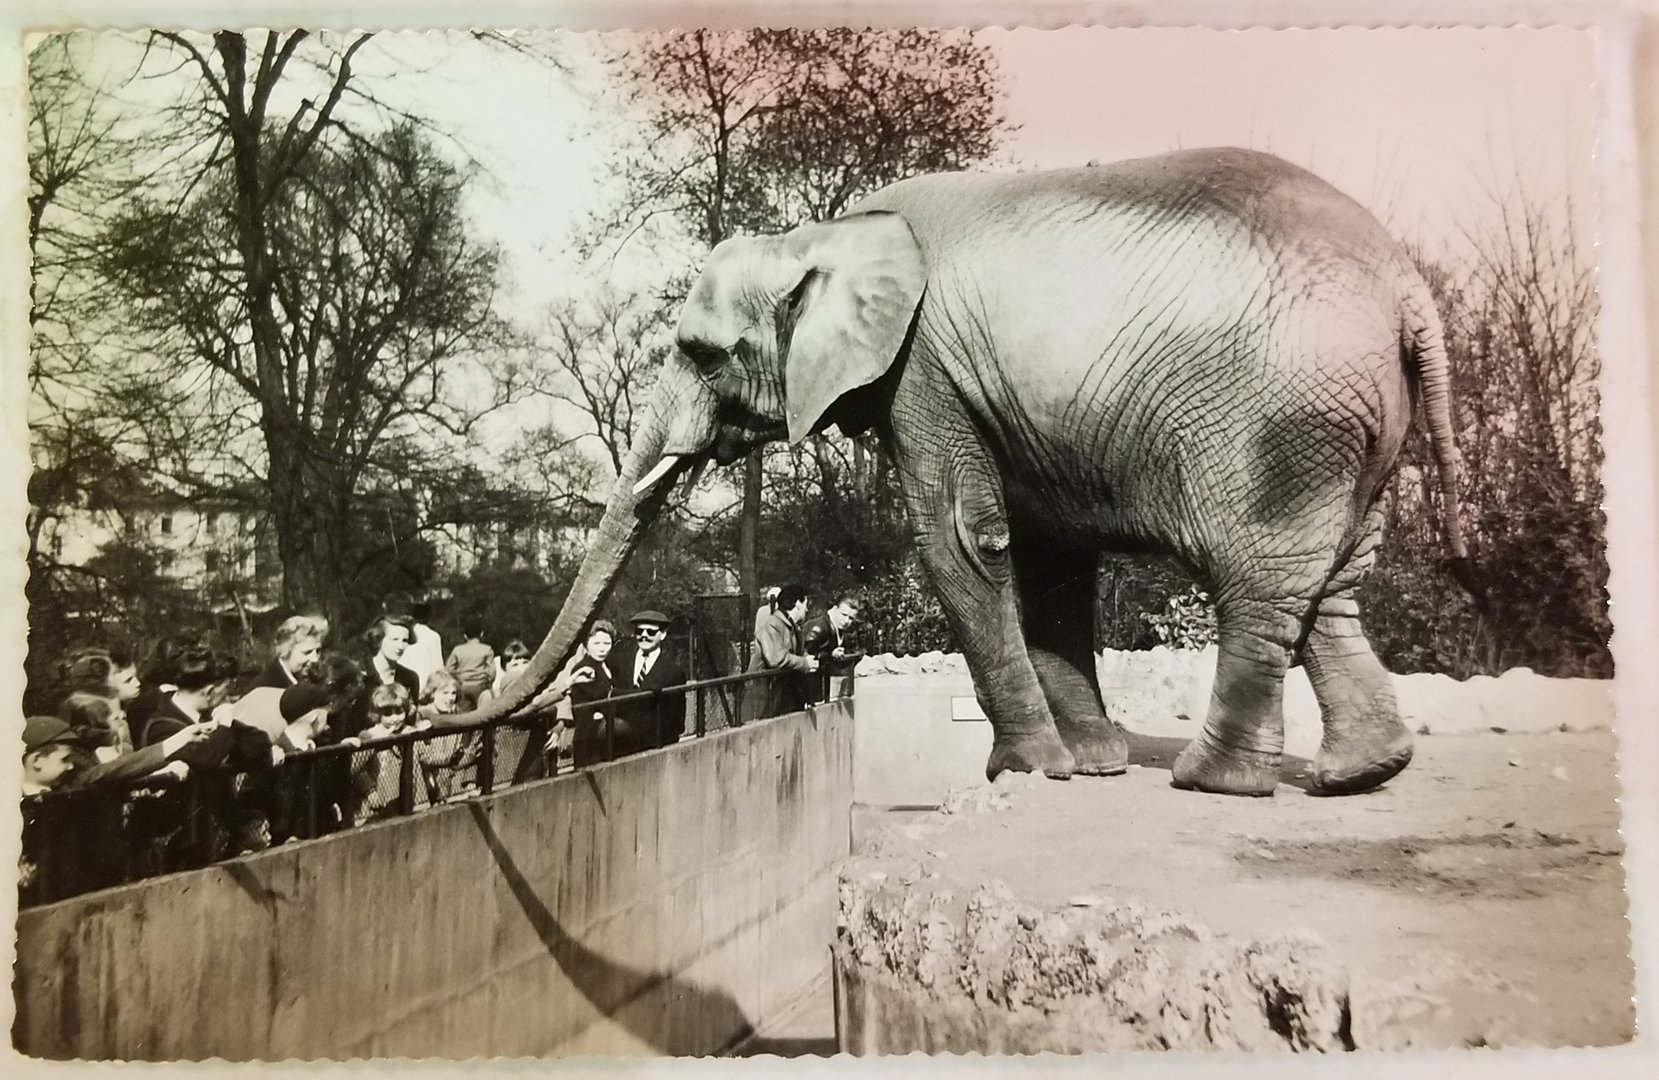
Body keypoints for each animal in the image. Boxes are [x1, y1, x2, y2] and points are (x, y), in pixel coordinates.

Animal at [465, 147, 1466, 798]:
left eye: (705, 356)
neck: (822, 234)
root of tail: (1408, 289)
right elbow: (1051, 555)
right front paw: (1087, 768)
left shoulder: (923, 368)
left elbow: (960, 538)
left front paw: (1024, 770)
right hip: (1351, 428)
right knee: (1329, 585)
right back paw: (1358, 774)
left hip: (1282, 420)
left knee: (1258, 582)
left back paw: (1213, 782)